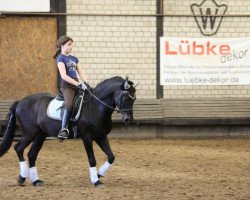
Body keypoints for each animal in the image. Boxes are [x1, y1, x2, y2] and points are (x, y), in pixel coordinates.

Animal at [0, 76, 137, 186]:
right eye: (126, 98)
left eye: (134, 99)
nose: (128, 120)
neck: (96, 107)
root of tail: (20, 102)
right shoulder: (87, 138)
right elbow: (92, 159)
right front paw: (96, 181)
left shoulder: (101, 136)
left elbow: (111, 157)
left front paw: (98, 175)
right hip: (29, 133)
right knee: (18, 148)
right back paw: (22, 178)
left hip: (40, 135)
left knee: (32, 154)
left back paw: (36, 181)